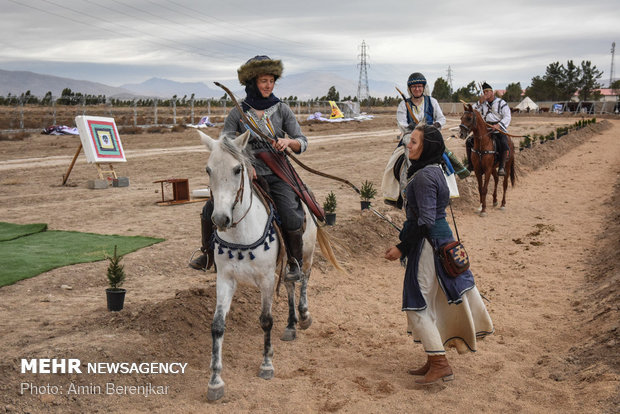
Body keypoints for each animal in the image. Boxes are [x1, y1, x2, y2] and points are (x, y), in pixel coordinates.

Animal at [201, 130, 322, 402]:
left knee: (303, 280)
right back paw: (290, 325)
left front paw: (266, 364)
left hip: (307, 254)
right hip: (285, 266)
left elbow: (266, 319)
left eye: (237, 169)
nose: (220, 219)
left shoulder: (266, 279)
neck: (240, 232)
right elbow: (217, 325)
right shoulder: (225, 279)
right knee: (289, 285)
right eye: (208, 169)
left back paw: (304, 316)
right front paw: (214, 381)